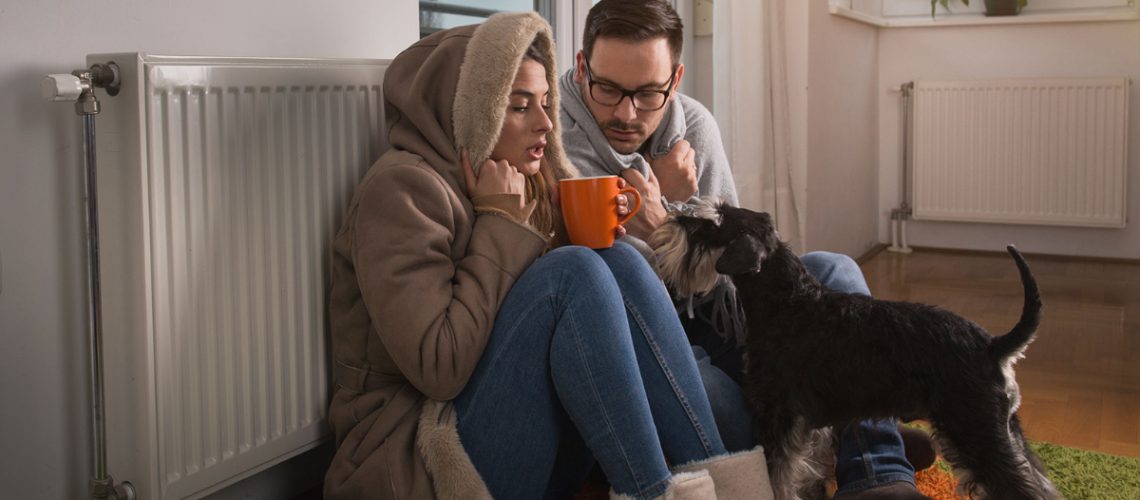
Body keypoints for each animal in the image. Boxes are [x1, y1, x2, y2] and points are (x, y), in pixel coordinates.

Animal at [652, 202, 1057, 500]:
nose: (671, 218)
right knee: (1041, 483)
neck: (787, 301)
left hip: (977, 432)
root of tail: (993, 346)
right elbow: (798, 473)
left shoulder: (777, 415)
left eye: (712, 222)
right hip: (1003, 430)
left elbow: (776, 477)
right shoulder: (804, 425)